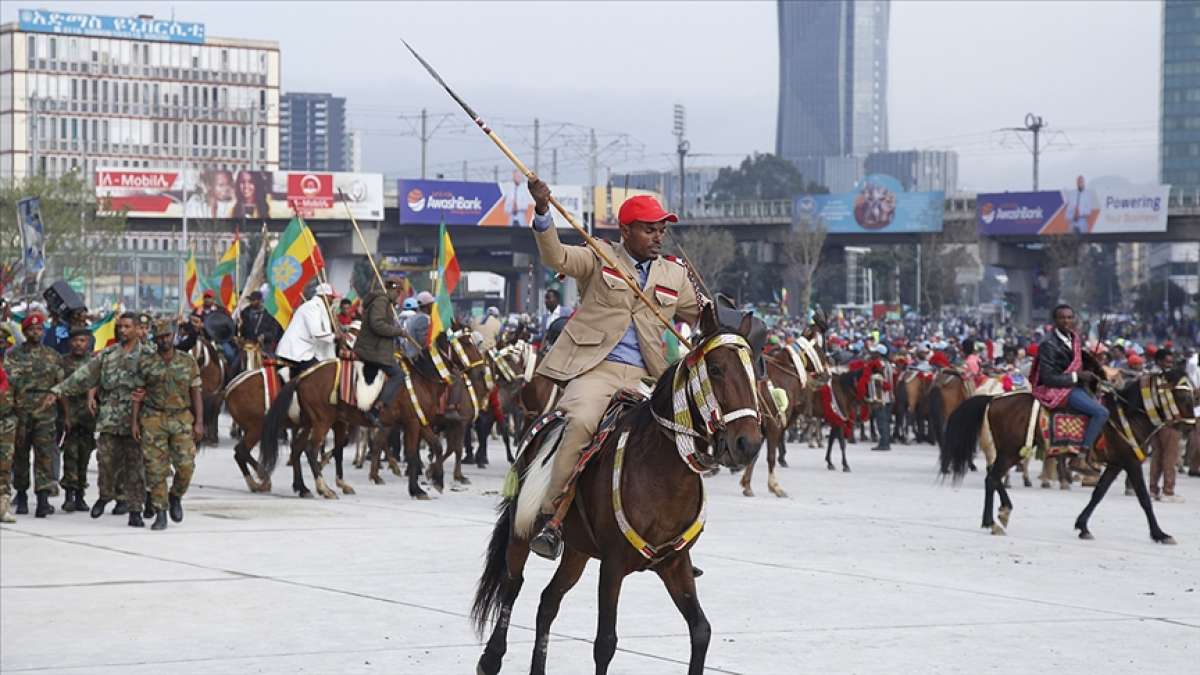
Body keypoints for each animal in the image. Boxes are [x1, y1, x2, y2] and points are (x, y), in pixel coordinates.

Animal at [470, 306, 763, 672]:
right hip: (523, 530)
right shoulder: (612, 565)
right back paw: (491, 657)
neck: (663, 472)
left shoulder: (675, 564)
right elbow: (605, 643)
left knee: (548, 601)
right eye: (716, 369)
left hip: (577, 549)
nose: (748, 443)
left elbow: (701, 630)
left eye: (754, 371)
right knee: (513, 583)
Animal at [940, 365, 1195, 538]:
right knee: (992, 478)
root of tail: (993, 398)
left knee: (992, 477)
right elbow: (1144, 498)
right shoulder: (1130, 462)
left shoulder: (1115, 463)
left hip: (1008, 450)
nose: (1191, 425)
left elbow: (1098, 493)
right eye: (1183, 394)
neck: (1128, 415)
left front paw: (1082, 526)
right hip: (1011, 450)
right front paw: (1160, 534)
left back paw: (1001, 513)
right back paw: (993, 520)